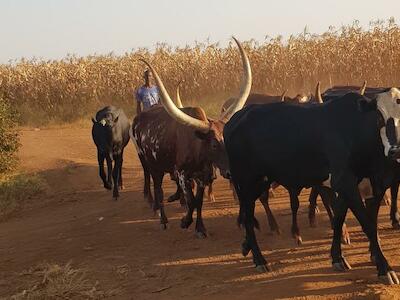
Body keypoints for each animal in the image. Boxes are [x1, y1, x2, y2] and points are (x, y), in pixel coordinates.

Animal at [131, 37, 250, 238]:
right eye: (214, 145)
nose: (231, 172)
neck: (198, 149)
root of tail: (139, 119)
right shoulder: (182, 175)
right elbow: (192, 201)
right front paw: (185, 221)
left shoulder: (202, 177)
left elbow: (198, 202)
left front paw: (200, 228)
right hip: (152, 166)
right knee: (157, 190)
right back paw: (162, 219)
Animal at [225, 89, 400, 284]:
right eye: (380, 118)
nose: (396, 150)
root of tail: (236, 119)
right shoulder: (345, 183)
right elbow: (368, 225)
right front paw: (385, 269)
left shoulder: (370, 185)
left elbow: (340, 219)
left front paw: (338, 258)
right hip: (247, 181)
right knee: (248, 217)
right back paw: (259, 260)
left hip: (261, 181)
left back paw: (246, 245)